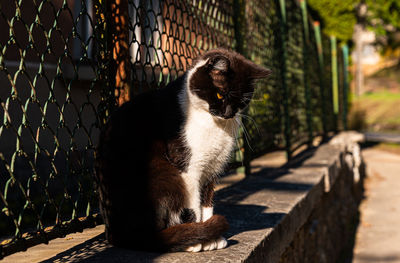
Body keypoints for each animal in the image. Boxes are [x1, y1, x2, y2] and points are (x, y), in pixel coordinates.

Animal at [96, 48, 272, 253]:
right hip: (163, 174)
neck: (212, 122)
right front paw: (199, 240)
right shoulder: (188, 167)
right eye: (220, 95)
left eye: (242, 101)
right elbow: (194, 206)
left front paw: (212, 238)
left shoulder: (211, 167)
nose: (228, 113)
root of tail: (114, 233)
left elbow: (207, 203)